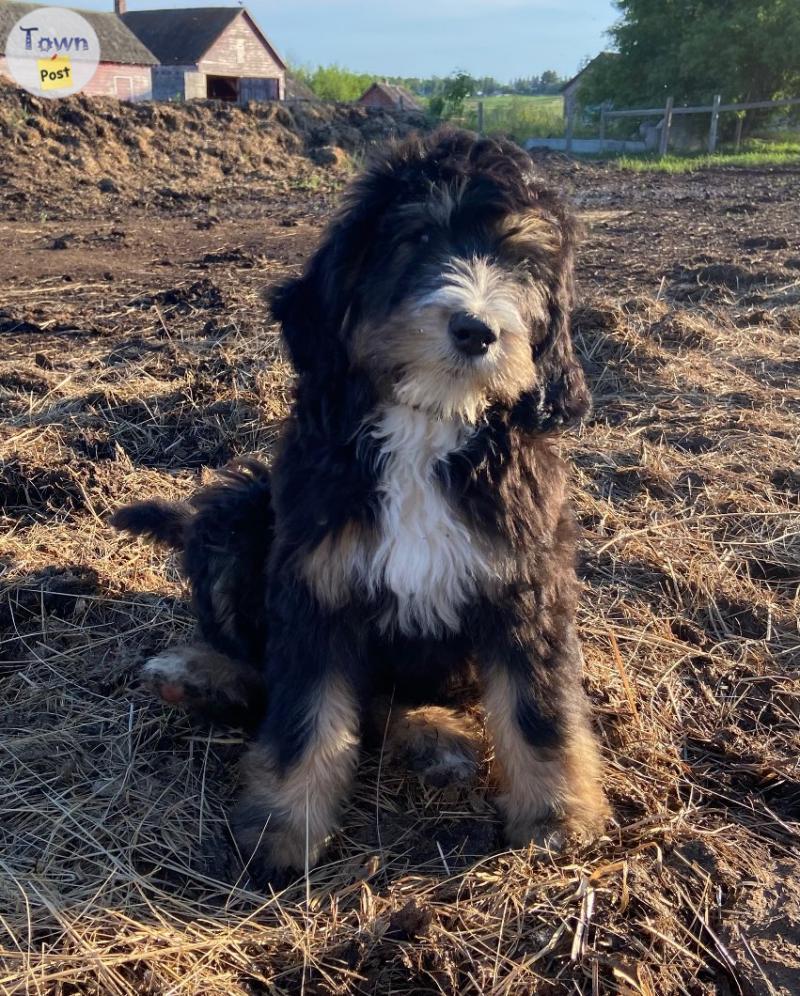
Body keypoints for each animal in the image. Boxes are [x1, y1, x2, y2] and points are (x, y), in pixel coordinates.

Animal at [112, 126, 608, 880]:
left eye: (521, 261)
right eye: (417, 237)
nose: (476, 331)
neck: (428, 423)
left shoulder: (525, 576)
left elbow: (537, 705)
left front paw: (557, 816)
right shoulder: (317, 579)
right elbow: (304, 714)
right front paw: (284, 827)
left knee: (393, 705)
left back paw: (434, 736)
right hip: (241, 515)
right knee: (259, 663)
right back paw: (201, 677)